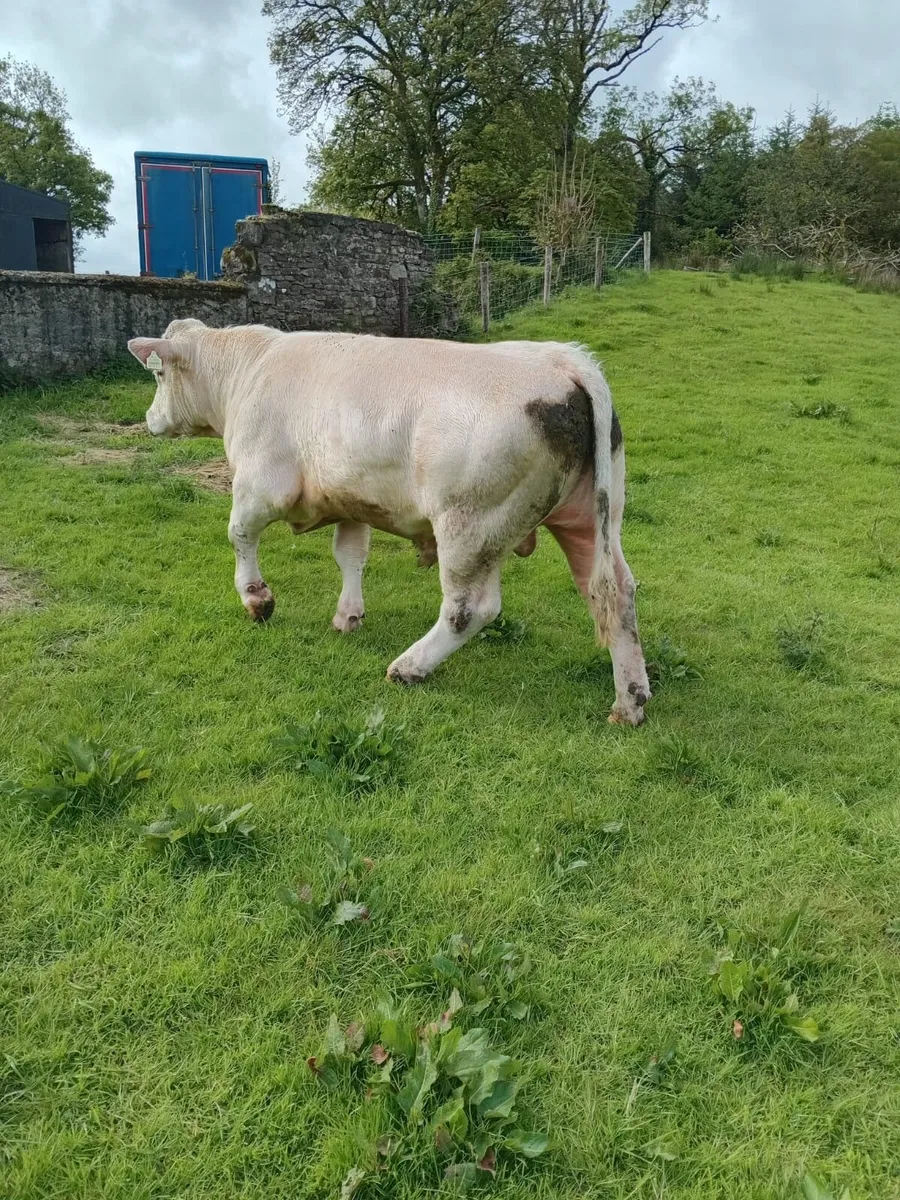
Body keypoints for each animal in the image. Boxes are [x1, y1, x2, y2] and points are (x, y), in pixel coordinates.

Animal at [128, 319, 651, 725]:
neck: (248, 371)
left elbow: (239, 534)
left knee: (470, 609)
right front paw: (348, 615)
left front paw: (257, 600)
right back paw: (630, 701)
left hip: (470, 525)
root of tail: (563, 360)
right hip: (590, 519)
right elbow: (350, 555)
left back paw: (409, 668)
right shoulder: (351, 500)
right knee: (614, 593)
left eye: (157, 375)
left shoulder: (261, 484)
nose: (149, 418)